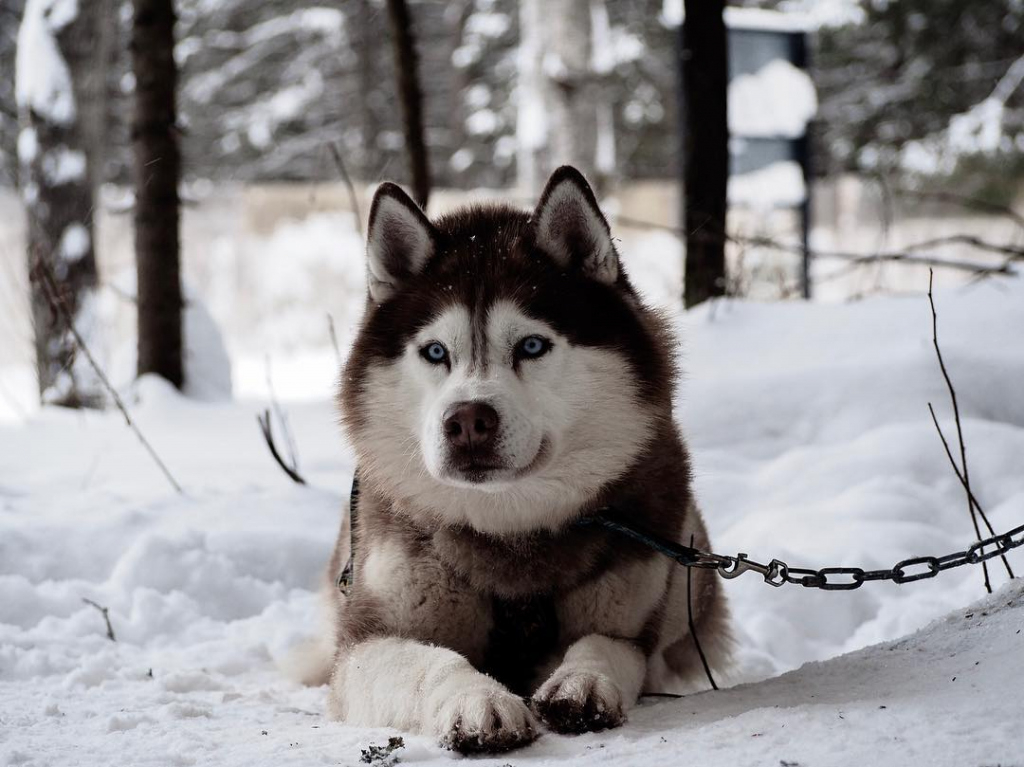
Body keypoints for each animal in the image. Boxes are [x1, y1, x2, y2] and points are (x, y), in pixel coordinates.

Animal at [319, 165, 729, 749]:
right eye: (435, 352)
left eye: (532, 346)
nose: (467, 421)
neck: (507, 528)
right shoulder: (367, 639)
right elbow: (432, 660)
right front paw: (478, 700)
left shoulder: (631, 622)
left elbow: (605, 645)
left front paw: (582, 681)